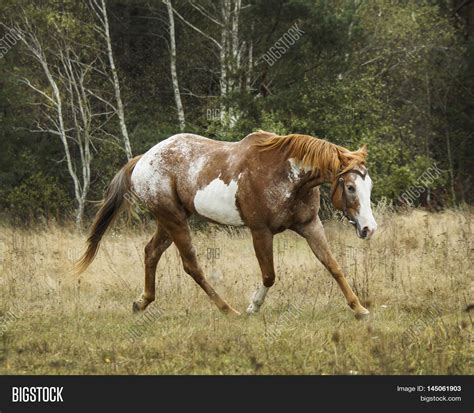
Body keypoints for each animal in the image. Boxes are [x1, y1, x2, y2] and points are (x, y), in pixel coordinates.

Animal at [77, 130, 378, 318]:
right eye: (350, 187)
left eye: (369, 186)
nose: (369, 229)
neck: (288, 176)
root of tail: (143, 160)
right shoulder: (260, 231)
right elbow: (269, 275)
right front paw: (252, 307)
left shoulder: (310, 225)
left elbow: (333, 266)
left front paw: (360, 309)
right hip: (174, 220)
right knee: (192, 266)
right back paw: (228, 310)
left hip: (170, 220)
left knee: (151, 252)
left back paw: (142, 302)